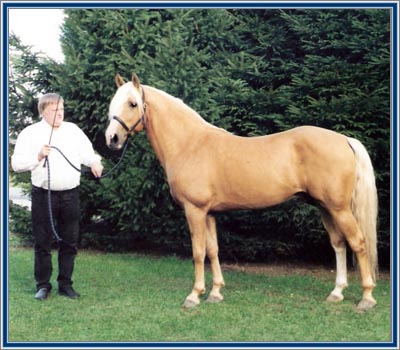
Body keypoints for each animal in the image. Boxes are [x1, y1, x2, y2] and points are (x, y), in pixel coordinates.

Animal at [104, 74, 378, 312]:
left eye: (132, 103)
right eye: (113, 102)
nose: (112, 138)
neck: (189, 144)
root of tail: (344, 139)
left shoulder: (195, 210)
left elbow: (198, 252)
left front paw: (194, 295)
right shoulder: (209, 213)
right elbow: (213, 250)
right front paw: (215, 292)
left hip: (339, 209)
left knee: (358, 242)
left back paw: (366, 297)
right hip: (325, 207)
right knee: (339, 243)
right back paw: (337, 293)